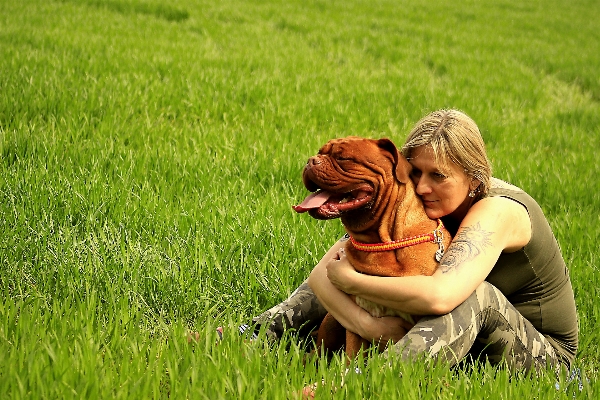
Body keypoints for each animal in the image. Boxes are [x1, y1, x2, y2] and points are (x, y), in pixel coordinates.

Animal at [290, 138, 450, 360]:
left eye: (343, 158)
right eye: (320, 152)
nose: (311, 160)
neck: (381, 242)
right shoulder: (356, 324)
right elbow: (352, 356)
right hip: (331, 323)